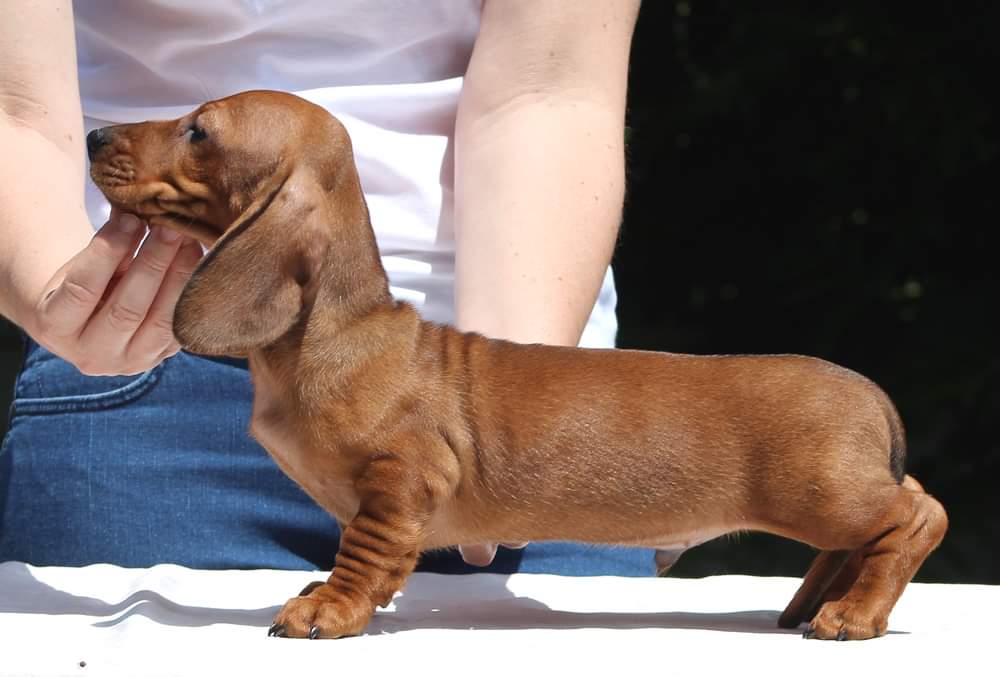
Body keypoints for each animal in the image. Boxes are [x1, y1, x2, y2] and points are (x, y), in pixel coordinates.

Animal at [86, 90, 944, 640]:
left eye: (198, 131)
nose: (93, 137)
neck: (340, 331)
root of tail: (870, 391)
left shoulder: (400, 477)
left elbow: (362, 550)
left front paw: (330, 607)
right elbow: (383, 557)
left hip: (820, 495)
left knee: (915, 515)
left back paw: (855, 615)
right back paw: (809, 606)